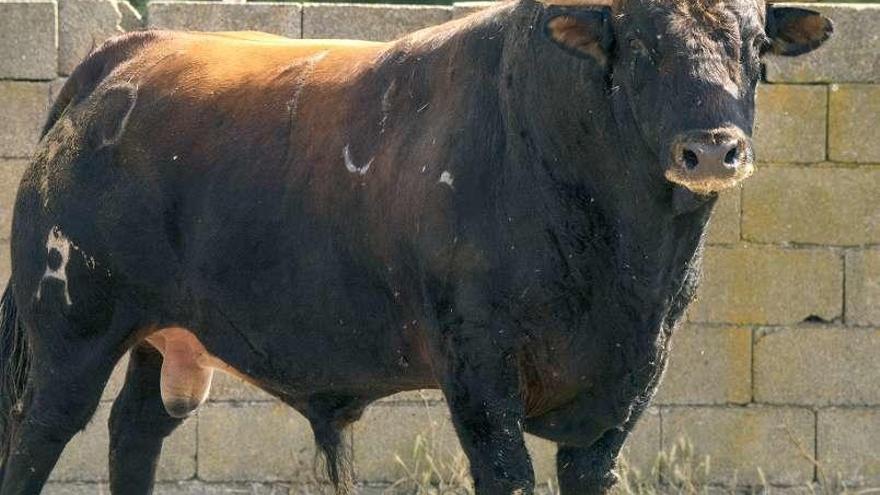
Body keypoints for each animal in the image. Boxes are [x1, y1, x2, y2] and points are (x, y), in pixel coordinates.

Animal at [0, 0, 828, 494]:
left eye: (756, 46)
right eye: (642, 43)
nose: (713, 148)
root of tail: (124, 52)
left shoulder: (628, 383)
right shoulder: (480, 368)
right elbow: (507, 471)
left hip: (165, 337)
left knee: (136, 430)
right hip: (70, 330)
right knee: (39, 435)